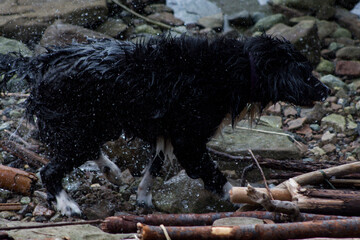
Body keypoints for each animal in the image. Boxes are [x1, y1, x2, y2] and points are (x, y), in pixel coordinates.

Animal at [0, 34, 330, 216]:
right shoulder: (189, 139)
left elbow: (154, 166)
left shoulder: (168, 132)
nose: (326, 90)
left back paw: (112, 172)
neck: (233, 68)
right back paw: (68, 205)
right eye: (305, 73)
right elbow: (212, 173)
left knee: (86, 150)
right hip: (80, 124)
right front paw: (243, 197)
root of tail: (41, 62)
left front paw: (143, 196)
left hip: (93, 122)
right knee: (50, 170)